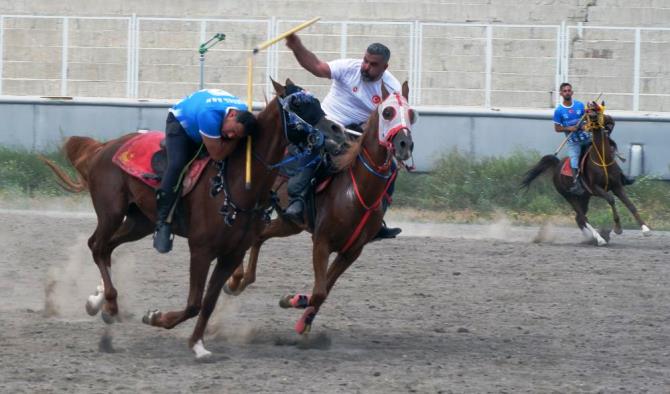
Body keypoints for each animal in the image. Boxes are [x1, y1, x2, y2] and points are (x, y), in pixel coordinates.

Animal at [41, 78, 346, 358]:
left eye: (317, 102)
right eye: (299, 106)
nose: (338, 130)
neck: (238, 183)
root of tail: (104, 147)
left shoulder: (232, 254)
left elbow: (208, 302)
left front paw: (197, 343)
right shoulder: (201, 250)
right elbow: (194, 303)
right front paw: (156, 318)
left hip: (140, 222)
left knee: (107, 248)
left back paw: (99, 303)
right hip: (111, 212)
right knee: (96, 245)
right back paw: (111, 304)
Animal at [223, 81, 418, 334]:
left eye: (411, 114)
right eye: (388, 112)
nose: (405, 144)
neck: (356, 191)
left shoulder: (351, 252)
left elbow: (323, 292)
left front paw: (301, 313)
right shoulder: (321, 242)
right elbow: (319, 291)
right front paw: (295, 304)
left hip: (290, 223)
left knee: (259, 237)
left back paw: (241, 281)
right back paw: (235, 278)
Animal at [524, 101, 652, 246]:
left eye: (599, 110)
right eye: (589, 113)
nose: (604, 120)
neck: (602, 159)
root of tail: (557, 165)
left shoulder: (617, 186)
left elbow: (630, 204)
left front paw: (645, 229)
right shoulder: (596, 188)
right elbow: (611, 199)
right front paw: (618, 228)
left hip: (584, 197)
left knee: (579, 218)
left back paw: (591, 238)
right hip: (569, 196)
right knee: (582, 217)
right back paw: (599, 239)